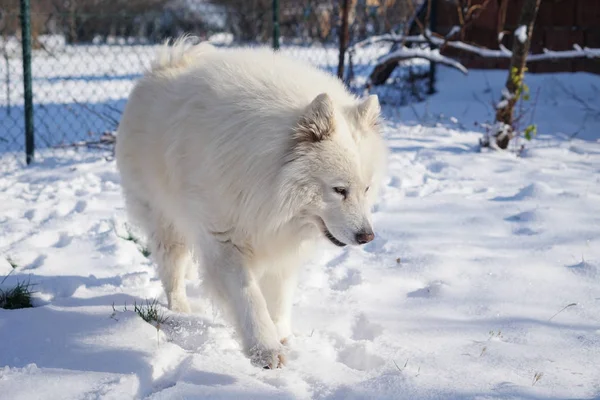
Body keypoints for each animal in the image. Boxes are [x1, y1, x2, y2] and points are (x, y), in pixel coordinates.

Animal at [116, 37, 390, 368]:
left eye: (366, 189)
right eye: (339, 190)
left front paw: (282, 335)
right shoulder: (225, 242)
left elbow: (279, 298)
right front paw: (266, 350)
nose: (367, 237)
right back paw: (180, 309)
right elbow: (249, 300)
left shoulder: (280, 245)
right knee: (172, 266)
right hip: (166, 218)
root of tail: (168, 62)